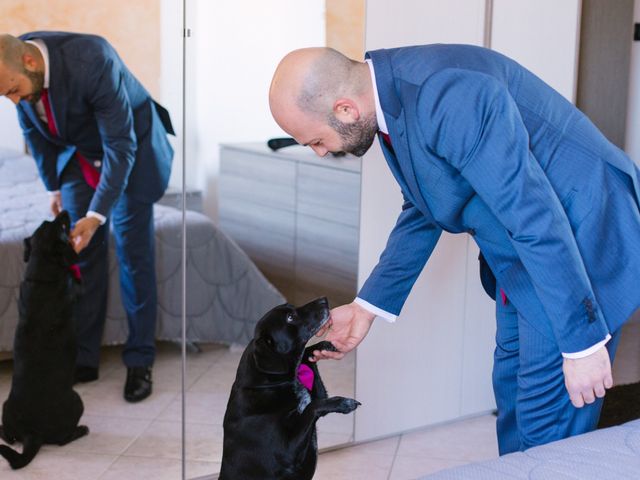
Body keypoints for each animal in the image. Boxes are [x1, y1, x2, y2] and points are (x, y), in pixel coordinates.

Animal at [0, 211, 89, 468]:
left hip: (5, 406)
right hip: (77, 401)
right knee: (63, 439)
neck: (40, 274)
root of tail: (33, 432)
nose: (64, 212)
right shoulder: (76, 288)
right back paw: (82, 430)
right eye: (61, 226)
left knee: (8, 437)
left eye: (47, 223)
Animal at [220, 298, 360, 478]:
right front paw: (344, 403)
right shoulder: (287, 450)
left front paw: (323, 346)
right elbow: (313, 407)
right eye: (290, 318)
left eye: (291, 308)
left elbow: (307, 359)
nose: (324, 299)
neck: (264, 384)